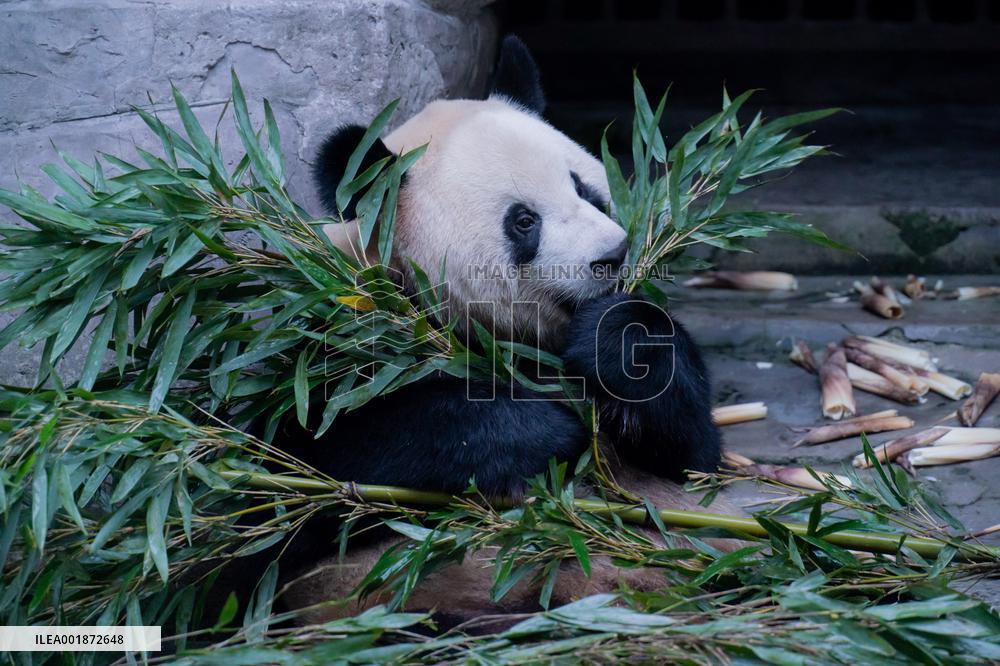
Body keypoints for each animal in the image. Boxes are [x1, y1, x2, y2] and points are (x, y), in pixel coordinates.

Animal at [276, 36, 731, 624]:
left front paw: (616, 341)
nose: (612, 256)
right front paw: (542, 431)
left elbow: (692, 463)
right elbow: (298, 479)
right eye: (524, 221)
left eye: (584, 188)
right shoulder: (320, 342)